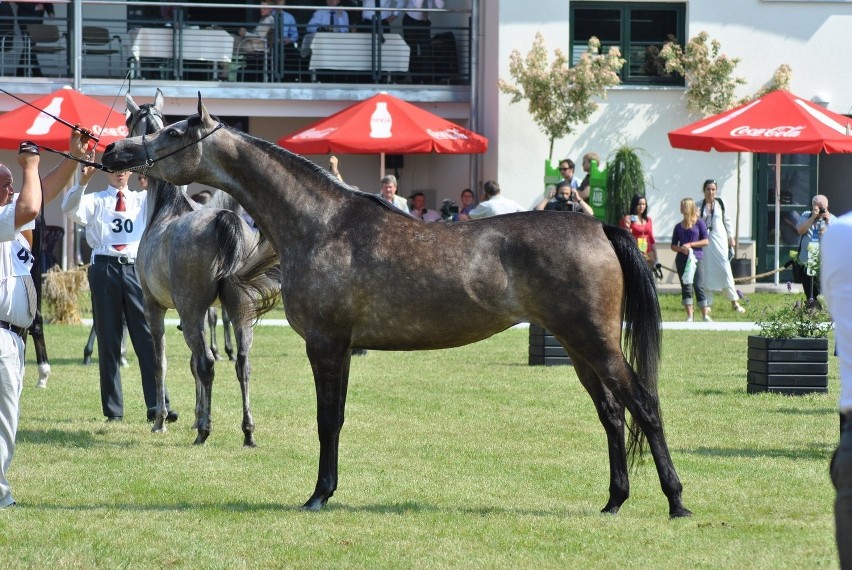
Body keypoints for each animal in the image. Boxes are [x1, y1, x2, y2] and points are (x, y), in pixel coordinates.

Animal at [125, 90, 280, 444]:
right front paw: (196, 414)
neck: (167, 208)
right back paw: (248, 432)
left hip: (190, 309)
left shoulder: (154, 306)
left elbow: (161, 362)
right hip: (240, 307)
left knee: (206, 361)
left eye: (128, 121)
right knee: (242, 362)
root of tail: (226, 218)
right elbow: (194, 364)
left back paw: (204, 431)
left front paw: (162, 419)